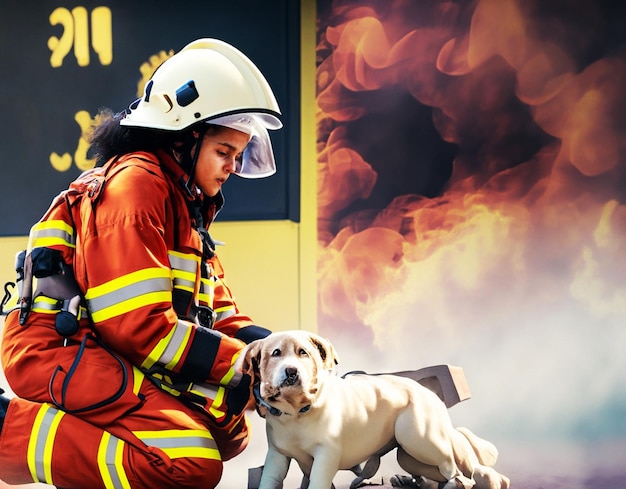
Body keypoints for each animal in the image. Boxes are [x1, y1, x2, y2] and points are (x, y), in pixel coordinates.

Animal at [241, 328, 510, 488]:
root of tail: (427, 392)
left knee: (455, 468)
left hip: (419, 439)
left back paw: (458, 481)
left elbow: (318, 480)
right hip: (407, 454)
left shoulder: (326, 456)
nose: (291, 371)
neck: (297, 413)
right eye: (275, 353)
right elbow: (270, 479)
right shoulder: (278, 456)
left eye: (303, 353)